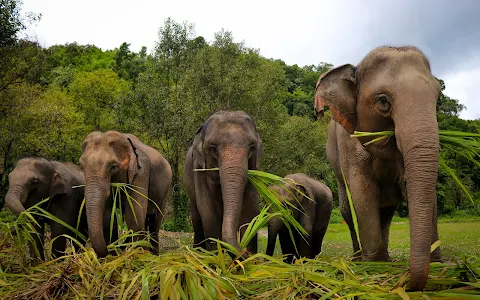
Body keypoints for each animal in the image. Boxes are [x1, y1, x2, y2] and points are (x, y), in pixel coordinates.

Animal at [184, 110, 262, 255]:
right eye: (213, 147)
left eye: (252, 147)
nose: (243, 252)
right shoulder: (199, 170)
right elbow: (208, 211)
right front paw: (217, 256)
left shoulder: (254, 170)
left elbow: (250, 208)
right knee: (197, 218)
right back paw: (197, 251)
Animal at [316, 46, 442, 290]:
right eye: (383, 101)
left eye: (438, 97)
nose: (408, 284)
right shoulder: (348, 142)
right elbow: (363, 193)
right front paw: (373, 267)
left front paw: (440, 266)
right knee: (348, 211)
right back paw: (359, 259)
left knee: (386, 213)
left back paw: (386, 258)